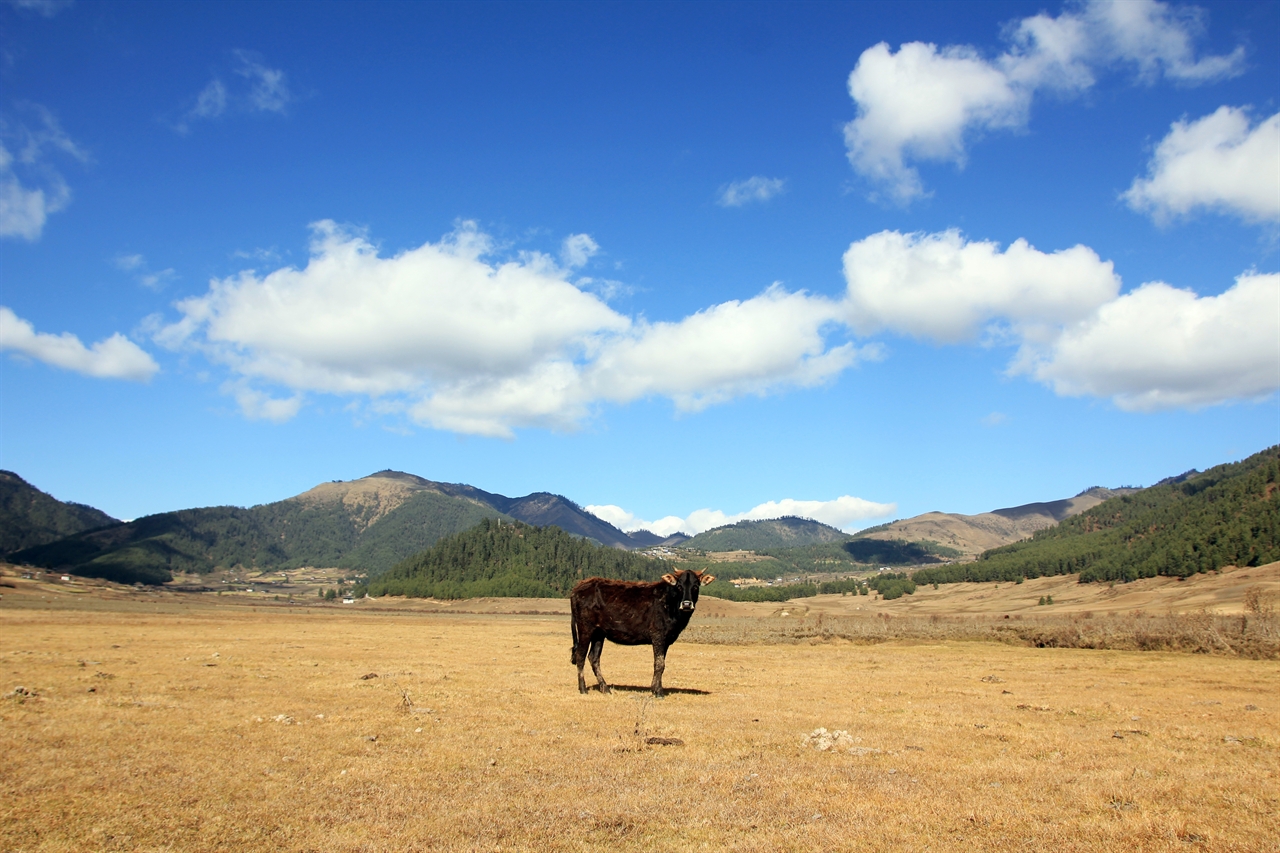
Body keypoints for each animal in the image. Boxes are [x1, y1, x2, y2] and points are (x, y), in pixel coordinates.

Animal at [573, 568, 716, 696]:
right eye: (679, 586)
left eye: (695, 586)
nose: (686, 604)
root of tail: (579, 587)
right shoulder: (658, 635)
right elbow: (659, 664)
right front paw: (658, 692)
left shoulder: (667, 640)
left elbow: (660, 663)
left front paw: (655, 688)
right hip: (585, 628)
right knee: (580, 655)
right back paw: (583, 689)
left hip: (599, 634)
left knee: (593, 658)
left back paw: (605, 688)